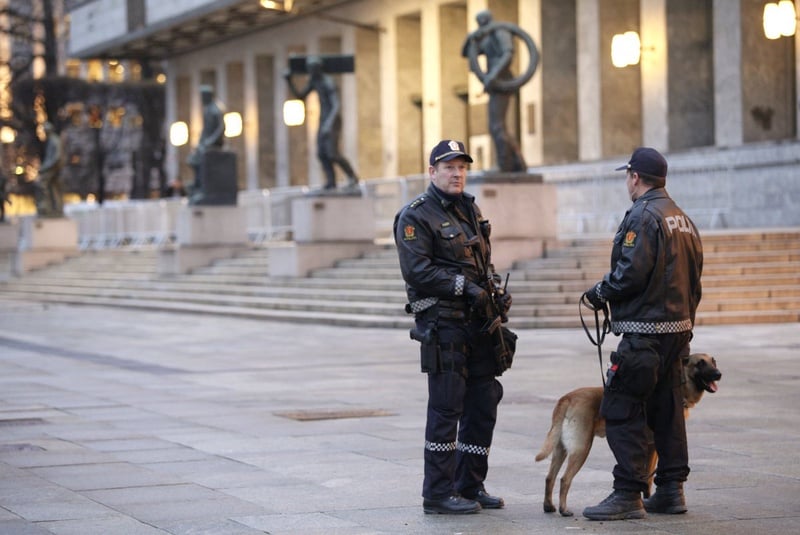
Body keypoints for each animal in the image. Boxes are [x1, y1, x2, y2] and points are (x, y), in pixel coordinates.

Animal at [536, 354, 720, 516]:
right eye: (700, 363)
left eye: (713, 361)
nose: (719, 374)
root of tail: (567, 398)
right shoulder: (653, 447)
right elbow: (648, 479)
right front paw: (645, 501)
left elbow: (646, 478)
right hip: (582, 448)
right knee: (564, 479)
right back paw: (564, 510)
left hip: (560, 449)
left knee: (549, 478)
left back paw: (549, 506)